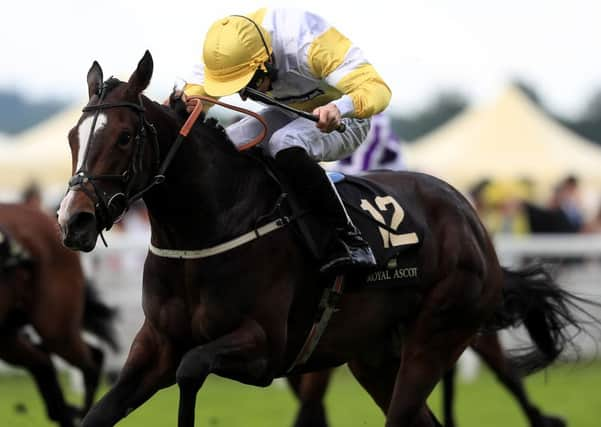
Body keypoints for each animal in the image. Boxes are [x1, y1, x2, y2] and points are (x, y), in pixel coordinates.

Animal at [56, 51, 580, 427]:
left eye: (125, 137)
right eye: (72, 137)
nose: (73, 220)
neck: (209, 228)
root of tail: (470, 218)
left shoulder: (263, 346)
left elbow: (191, 370)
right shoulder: (155, 346)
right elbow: (100, 415)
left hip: (436, 337)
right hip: (374, 356)